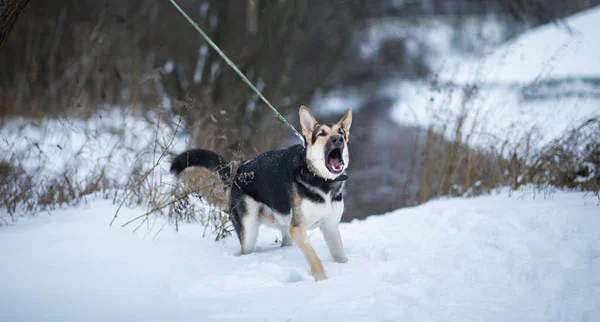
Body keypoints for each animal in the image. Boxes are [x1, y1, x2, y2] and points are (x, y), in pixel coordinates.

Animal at [170, 105, 352, 280]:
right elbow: (314, 258)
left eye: (341, 133)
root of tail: (237, 174)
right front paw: (322, 280)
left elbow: (340, 256)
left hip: (284, 229)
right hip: (250, 231)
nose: (338, 139)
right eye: (322, 134)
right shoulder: (297, 228)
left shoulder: (330, 227)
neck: (323, 181)